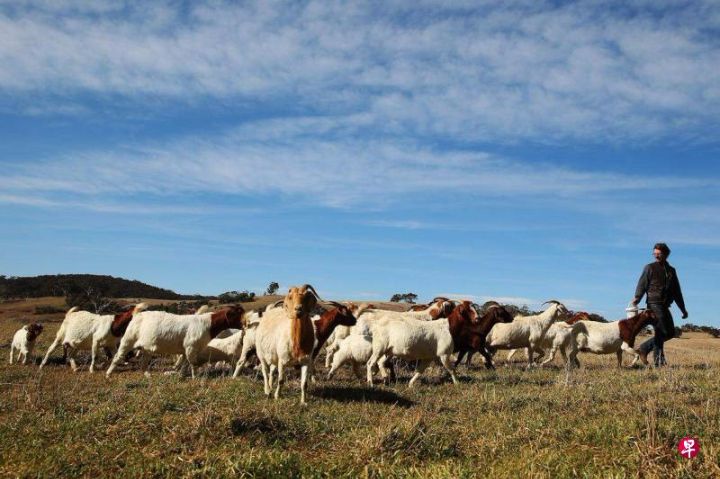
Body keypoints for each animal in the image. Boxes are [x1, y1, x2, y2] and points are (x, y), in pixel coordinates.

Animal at [105, 304, 243, 378]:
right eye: (238, 314)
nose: (246, 323)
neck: (209, 325)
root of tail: (137, 316)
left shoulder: (187, 350)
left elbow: (185, 363)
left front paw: (181, 374)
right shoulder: (190, 347)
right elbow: (192, 364)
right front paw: (195, 377)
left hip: (146, 348)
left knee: (143, 364)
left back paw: (148, 376)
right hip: (128, 340)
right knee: (117, 357)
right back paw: (108, 374)